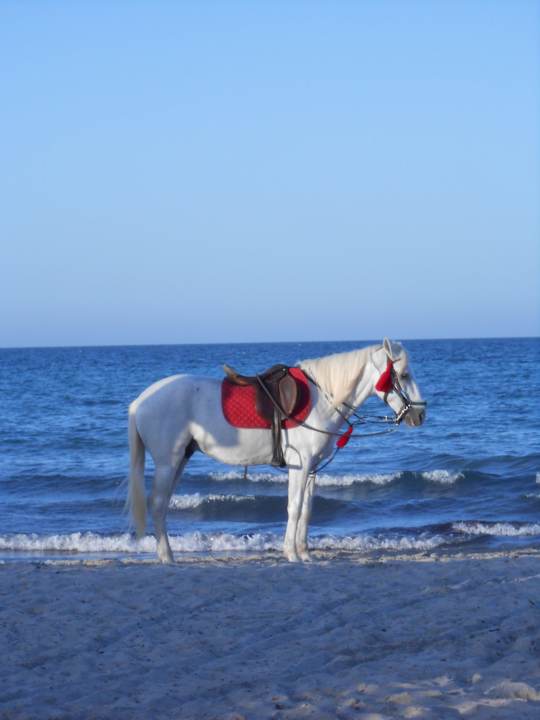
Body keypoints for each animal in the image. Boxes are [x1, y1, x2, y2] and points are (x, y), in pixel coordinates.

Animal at [126, 338, 426, 563]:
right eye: (403, 375)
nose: (420, 414)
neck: (321, 399)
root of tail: (140, 401)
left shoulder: (312, 468)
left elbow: (306, 509)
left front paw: (305, 554)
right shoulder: (300, 465)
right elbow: (294, 507)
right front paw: (291, 553)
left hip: (181, 460)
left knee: (163, 506)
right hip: (168, 463)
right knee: (157, 504)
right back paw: (167, 557)